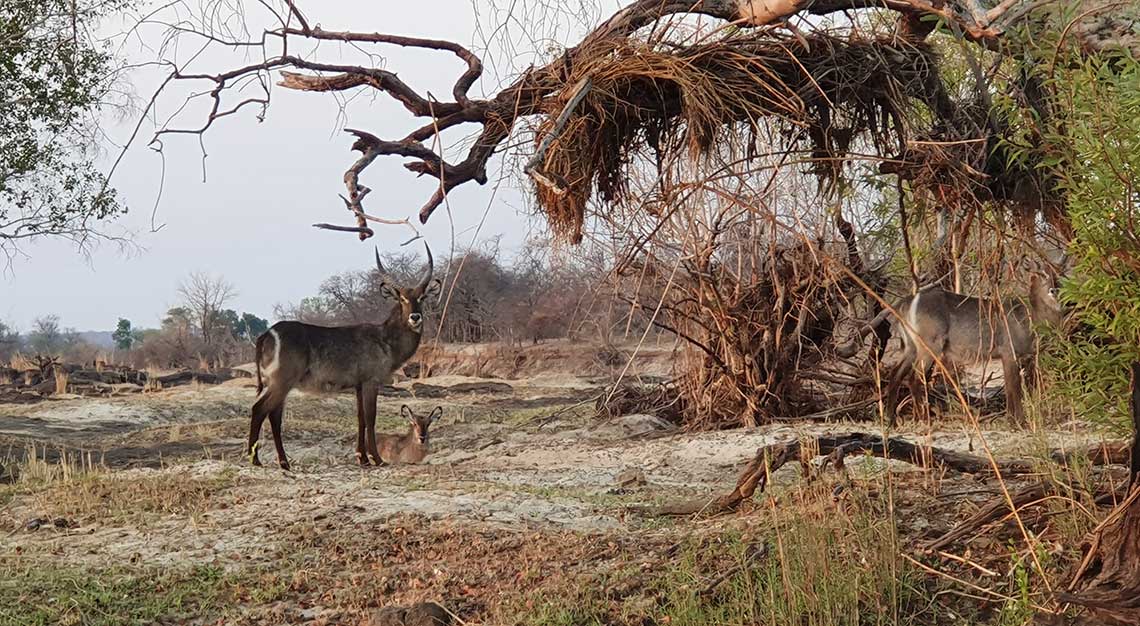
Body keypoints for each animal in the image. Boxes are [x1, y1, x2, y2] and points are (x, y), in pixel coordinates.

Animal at [248, 241, 440, 465]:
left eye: (422, 297)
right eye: (401, 298)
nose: (415, 317)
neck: (385, 339)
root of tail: (265, 335)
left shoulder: (358, 385)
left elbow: (360, 418)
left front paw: (362, 458)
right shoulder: (371, 380)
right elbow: (370, 418)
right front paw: (376, 458)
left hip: (280, 383)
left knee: (274, 415)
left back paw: (284, 463)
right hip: (282, 381)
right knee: (260, 409)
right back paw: (255, 459)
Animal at [839, 258, 1057, 424]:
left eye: (1057, 274)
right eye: (1041, 274)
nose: (1054, 290)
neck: (1029, 315)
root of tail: (907, 301)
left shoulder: (1011, 357)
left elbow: (1012, 387)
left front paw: (1013, 419)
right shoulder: (1009, 353)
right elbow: (1014, 388)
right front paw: (1018, 421)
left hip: (911, 347)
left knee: (896, 374)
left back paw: (891, 419)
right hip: (929, 346)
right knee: (915, 377)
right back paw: (923, 418)